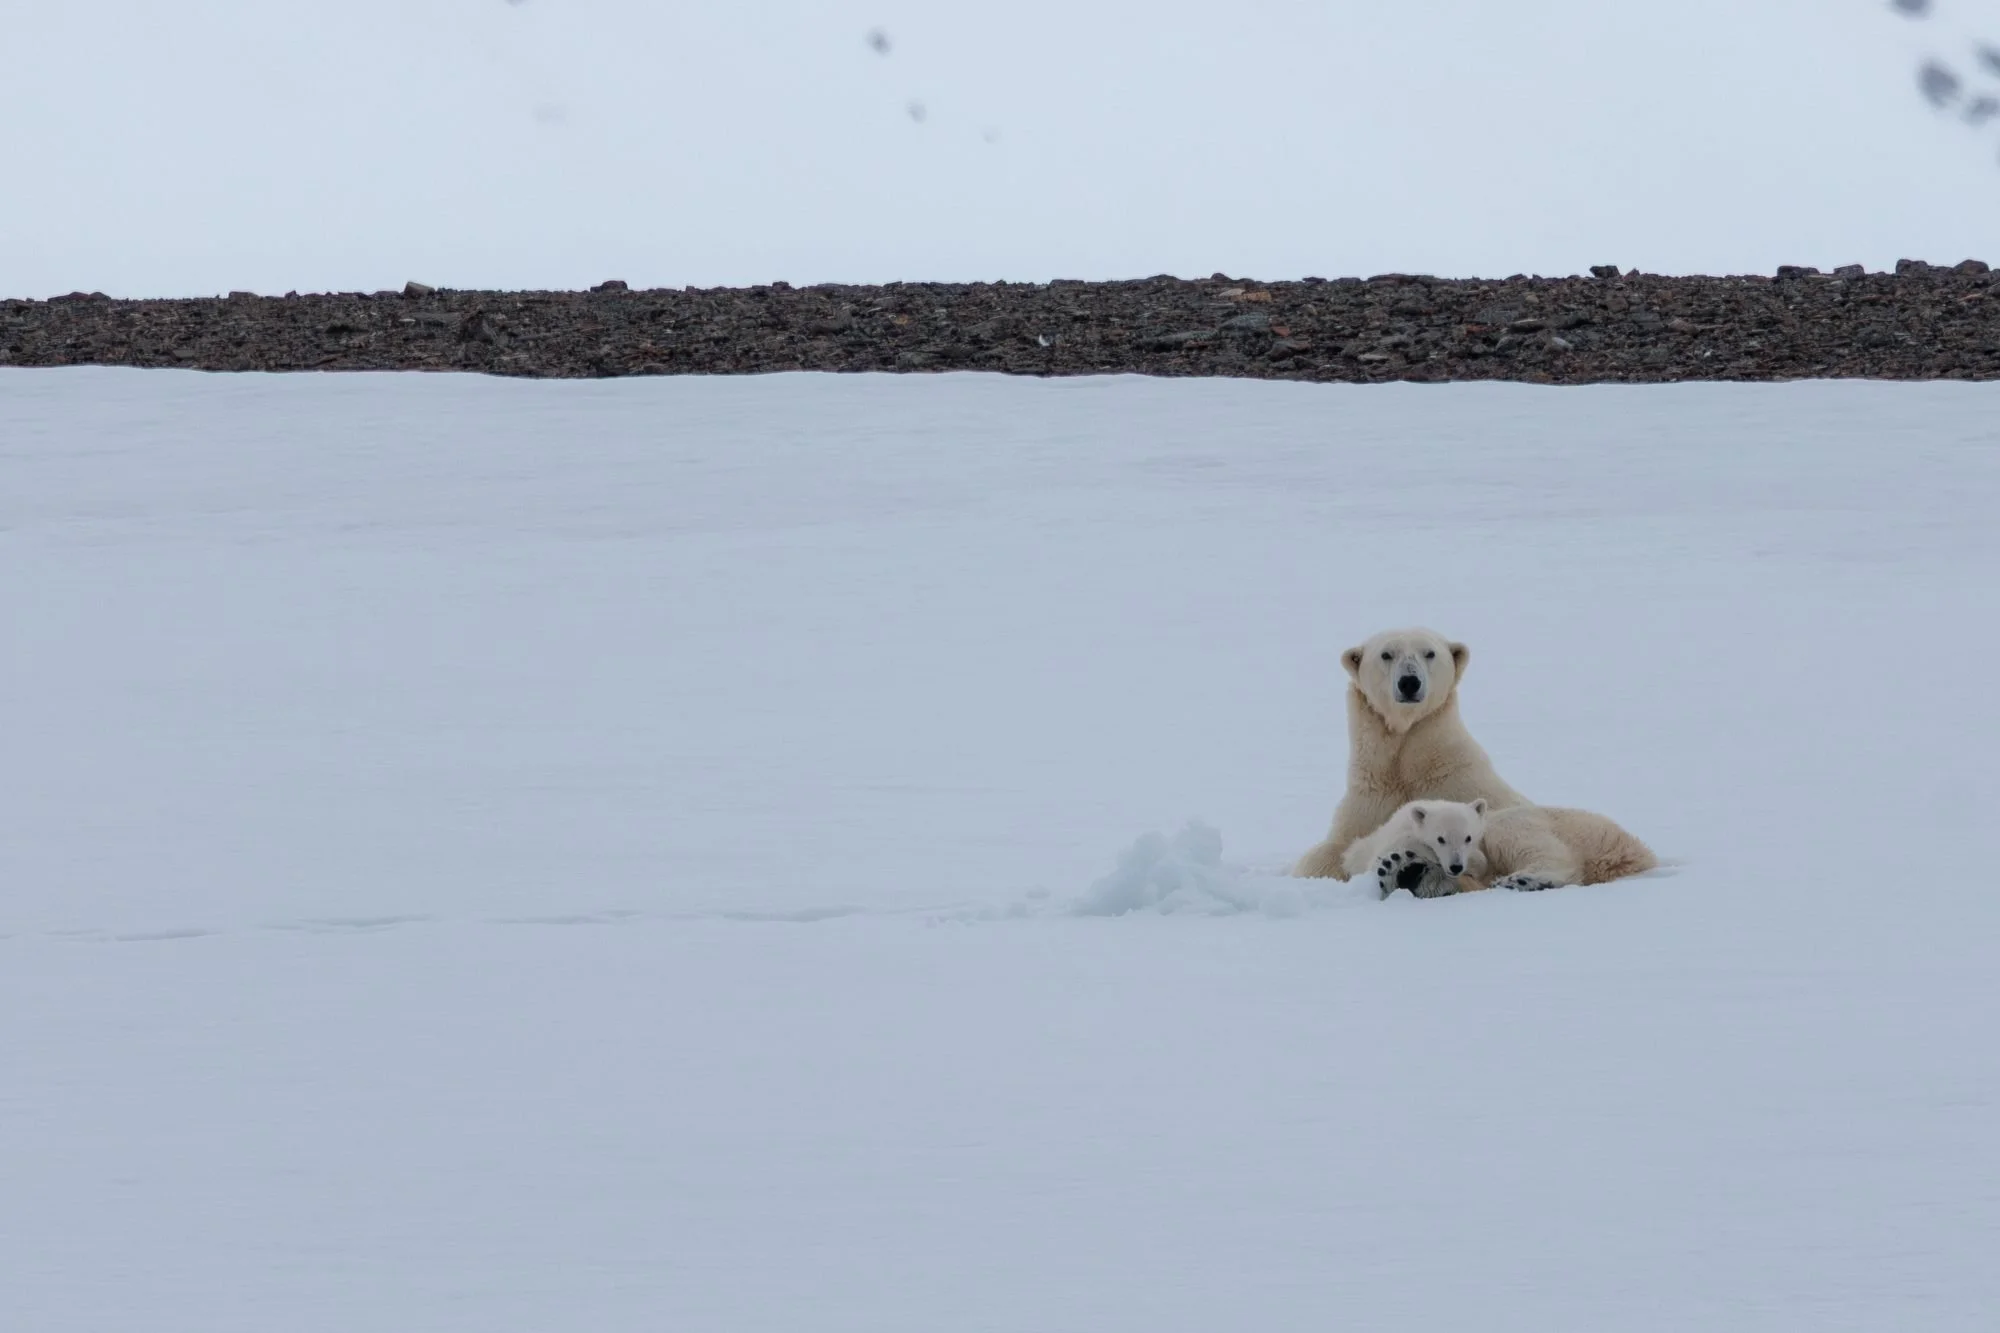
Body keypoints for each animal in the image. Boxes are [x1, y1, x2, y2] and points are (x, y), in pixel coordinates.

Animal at [1292, 627, 1530, 879]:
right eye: (1386, 654)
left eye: (1430, 653)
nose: (1409, 682)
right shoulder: (1370, 795)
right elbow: (1335, 847)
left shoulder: (1463, 785)